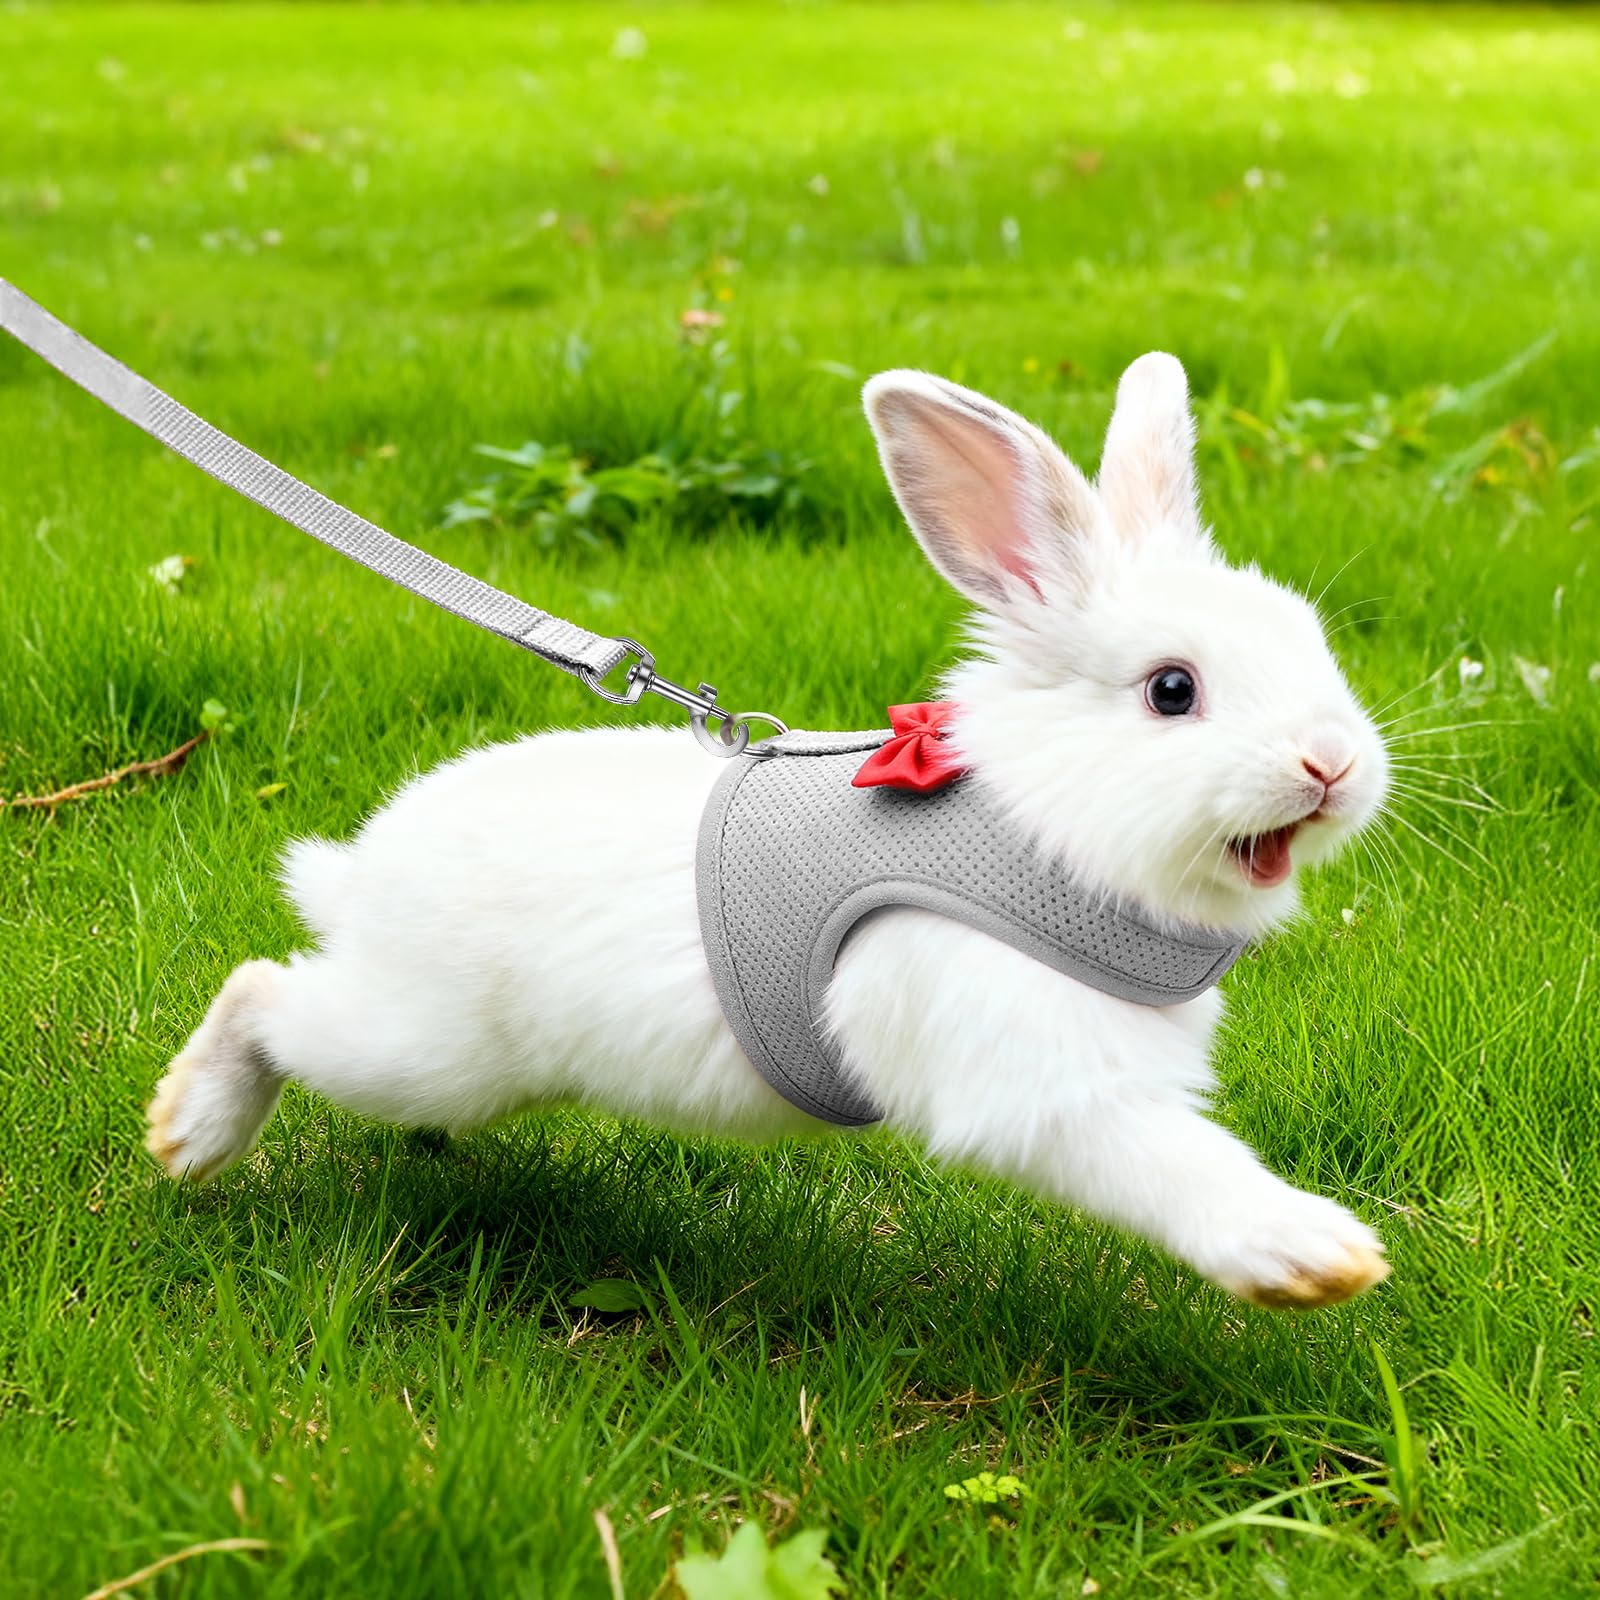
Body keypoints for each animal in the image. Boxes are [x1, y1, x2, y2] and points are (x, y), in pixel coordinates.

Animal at [147, 352, 1392, 1310]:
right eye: (1172, 690)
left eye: (1310, 635)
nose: (1331, 765)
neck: (1042, 824)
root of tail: (360, 875)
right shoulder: (1042, 1084)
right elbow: (1170, 1164)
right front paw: (1318, 1256)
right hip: (423, 1046)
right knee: (264, 992)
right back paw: (187, 1132)